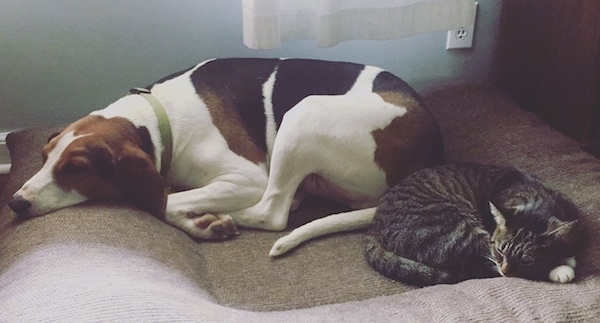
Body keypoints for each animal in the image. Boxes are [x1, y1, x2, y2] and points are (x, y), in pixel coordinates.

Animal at [7, 58, 442, 256]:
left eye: (76, 169)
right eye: (43, 156)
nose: (15, 202)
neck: (161, 119)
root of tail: (430, 150)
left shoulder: (244, 178)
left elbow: (163, 203)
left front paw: (203, 223)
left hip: (303, 112)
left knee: (272, 212)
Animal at [364, 165, 584, 286]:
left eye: (526, 260)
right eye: (500, 250)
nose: (505, 271)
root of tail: (375, 225)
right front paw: (561, 266)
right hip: (454, 231)